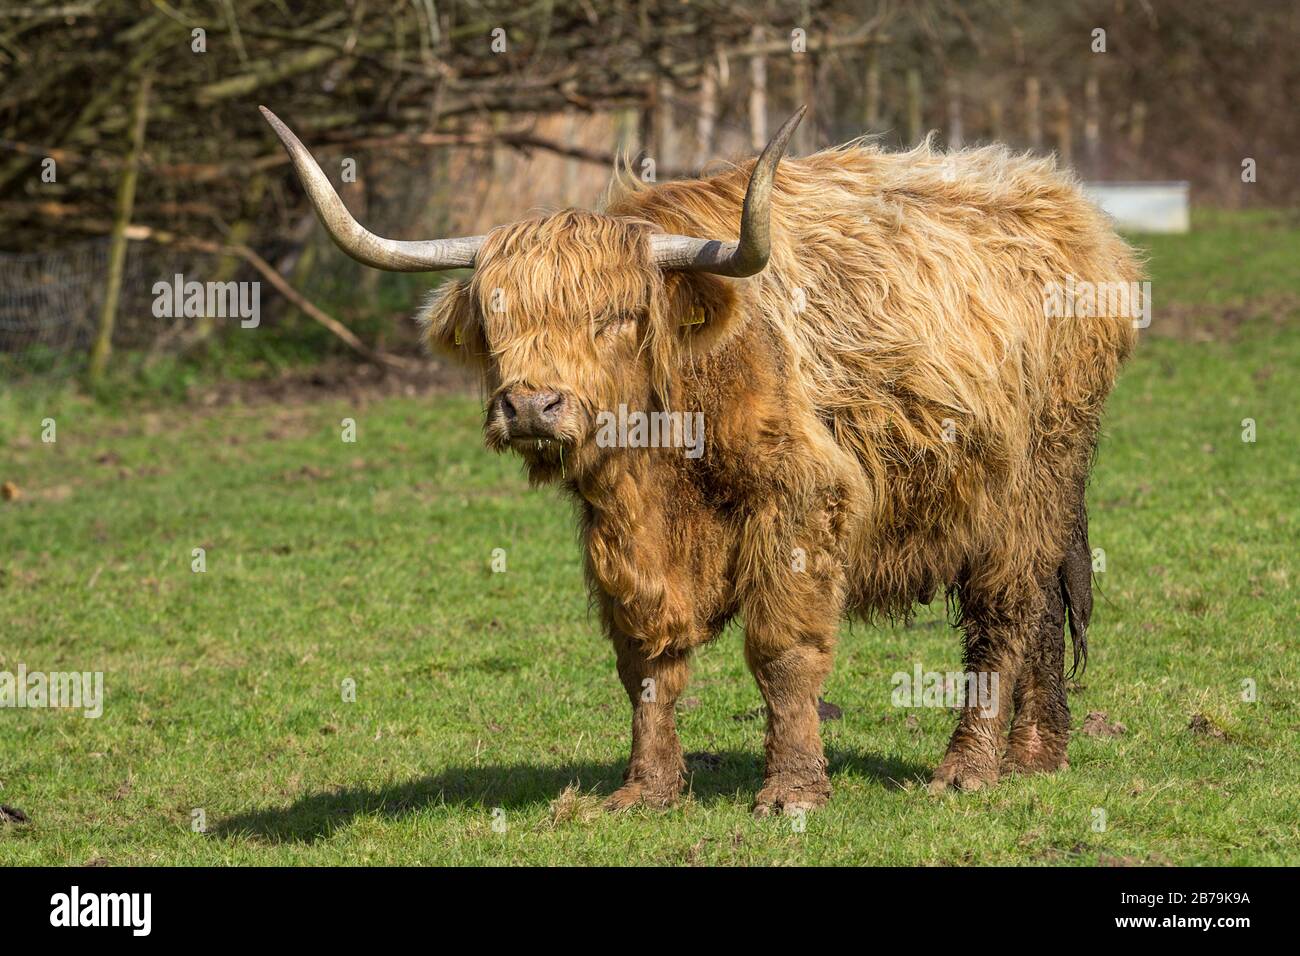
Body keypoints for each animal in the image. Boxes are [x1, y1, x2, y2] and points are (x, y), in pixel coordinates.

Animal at [258, 108, 1133, 816]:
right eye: (497, 315)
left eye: (616, 316)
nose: (532, 406)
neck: (668, 443)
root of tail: (1073, 212)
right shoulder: (622, 532)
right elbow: (646, 659)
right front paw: (644, 791)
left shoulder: (802, 503)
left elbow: (782, 652)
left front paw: (791, 792)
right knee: (1045, 607)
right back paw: (1036, 756)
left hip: (1030, 481)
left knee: (1006, 613)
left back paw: (968, 770)